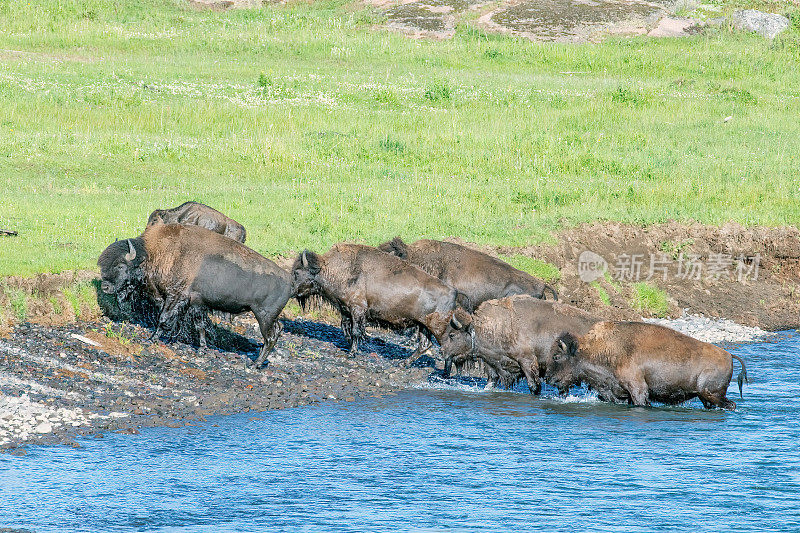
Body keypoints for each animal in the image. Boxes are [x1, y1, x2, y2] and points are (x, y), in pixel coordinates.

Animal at [97, 222, 290, 368]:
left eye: (120, 266)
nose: (105, 287)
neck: (155, 254)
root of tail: (289, 279)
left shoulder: (175, 297)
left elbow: (164, 318)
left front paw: (152, 338)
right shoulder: (196, 303)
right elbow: (199, 326)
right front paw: (202, 348)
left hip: (263, 316)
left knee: (270, 336)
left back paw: (255, 364)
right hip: (268, 317)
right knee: (277, 330)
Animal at [438, 296, 600, 390]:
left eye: (452, 335)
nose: (441, 353)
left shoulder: (527, 362)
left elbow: (534, 385)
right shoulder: (495, 365)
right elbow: (491, 381)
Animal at [548, 320, 748, 408]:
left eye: (556, 357)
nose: (550, 380)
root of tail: (729, 355)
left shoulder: (638, 390)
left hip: (711, 393)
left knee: (730, 404)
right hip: (705, 396)